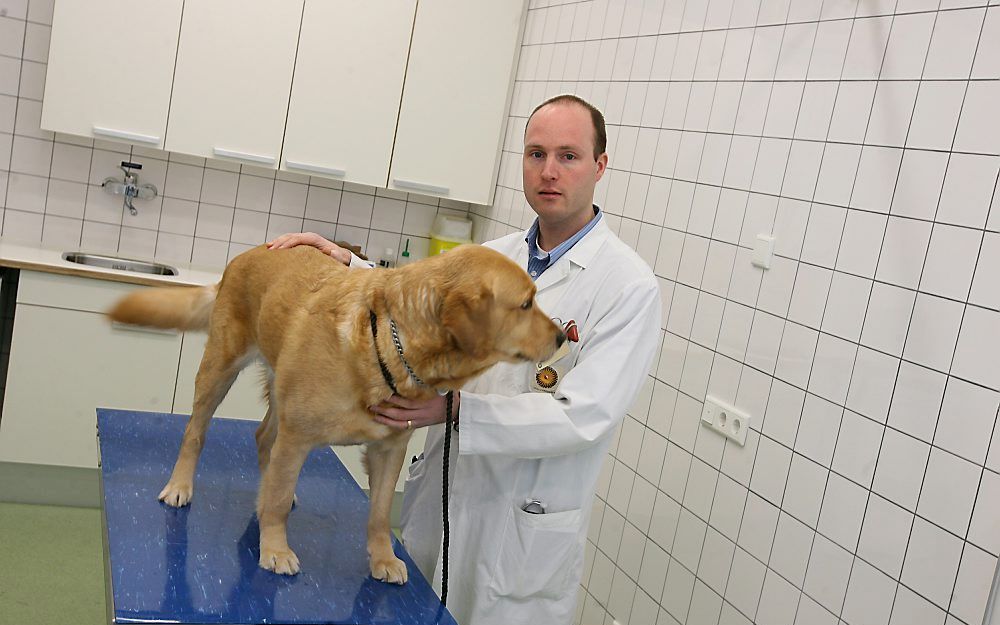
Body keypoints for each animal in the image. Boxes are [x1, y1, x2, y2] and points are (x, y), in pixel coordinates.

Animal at [109, 243, 568, 580]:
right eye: (526, 304)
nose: (564, 336)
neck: (389, 343)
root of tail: (247, 253)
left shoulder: (389, 450)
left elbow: (379, 515)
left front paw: (383, 559)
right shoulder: (298, 437)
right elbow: (277, 502)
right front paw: (275, 548)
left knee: (263, 439)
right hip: (219, 370)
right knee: (197, 432)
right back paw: (181, 485)